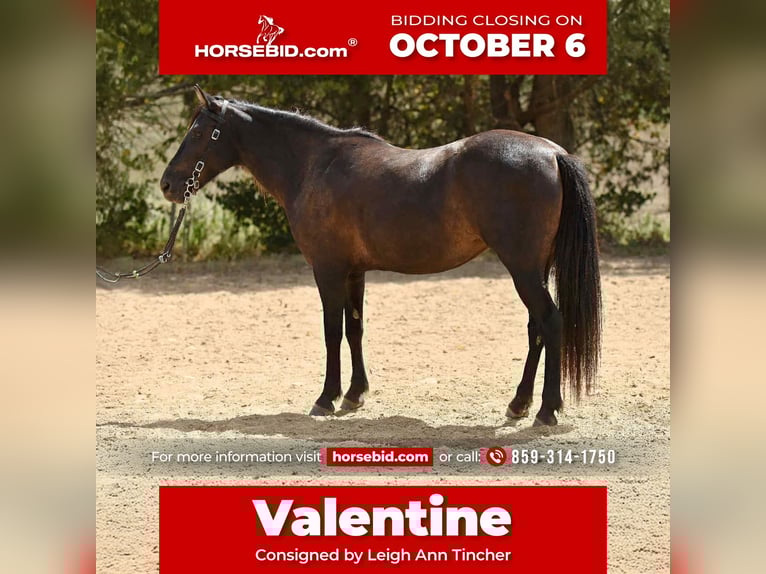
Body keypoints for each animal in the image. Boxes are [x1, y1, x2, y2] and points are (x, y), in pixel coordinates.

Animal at [160, 85, 602, 426]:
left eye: (199, 132)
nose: (167, 184)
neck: (314, 166)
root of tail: (551, 152)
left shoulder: (327, 270)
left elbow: (332, 331)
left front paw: (326, 398)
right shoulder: (354, 272)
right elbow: (354, 328)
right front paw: (354, 395)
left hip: (523, 269)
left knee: (551, 322)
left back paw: (546, 410)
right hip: (534, 269)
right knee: (535, 329)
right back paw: (518, 404)